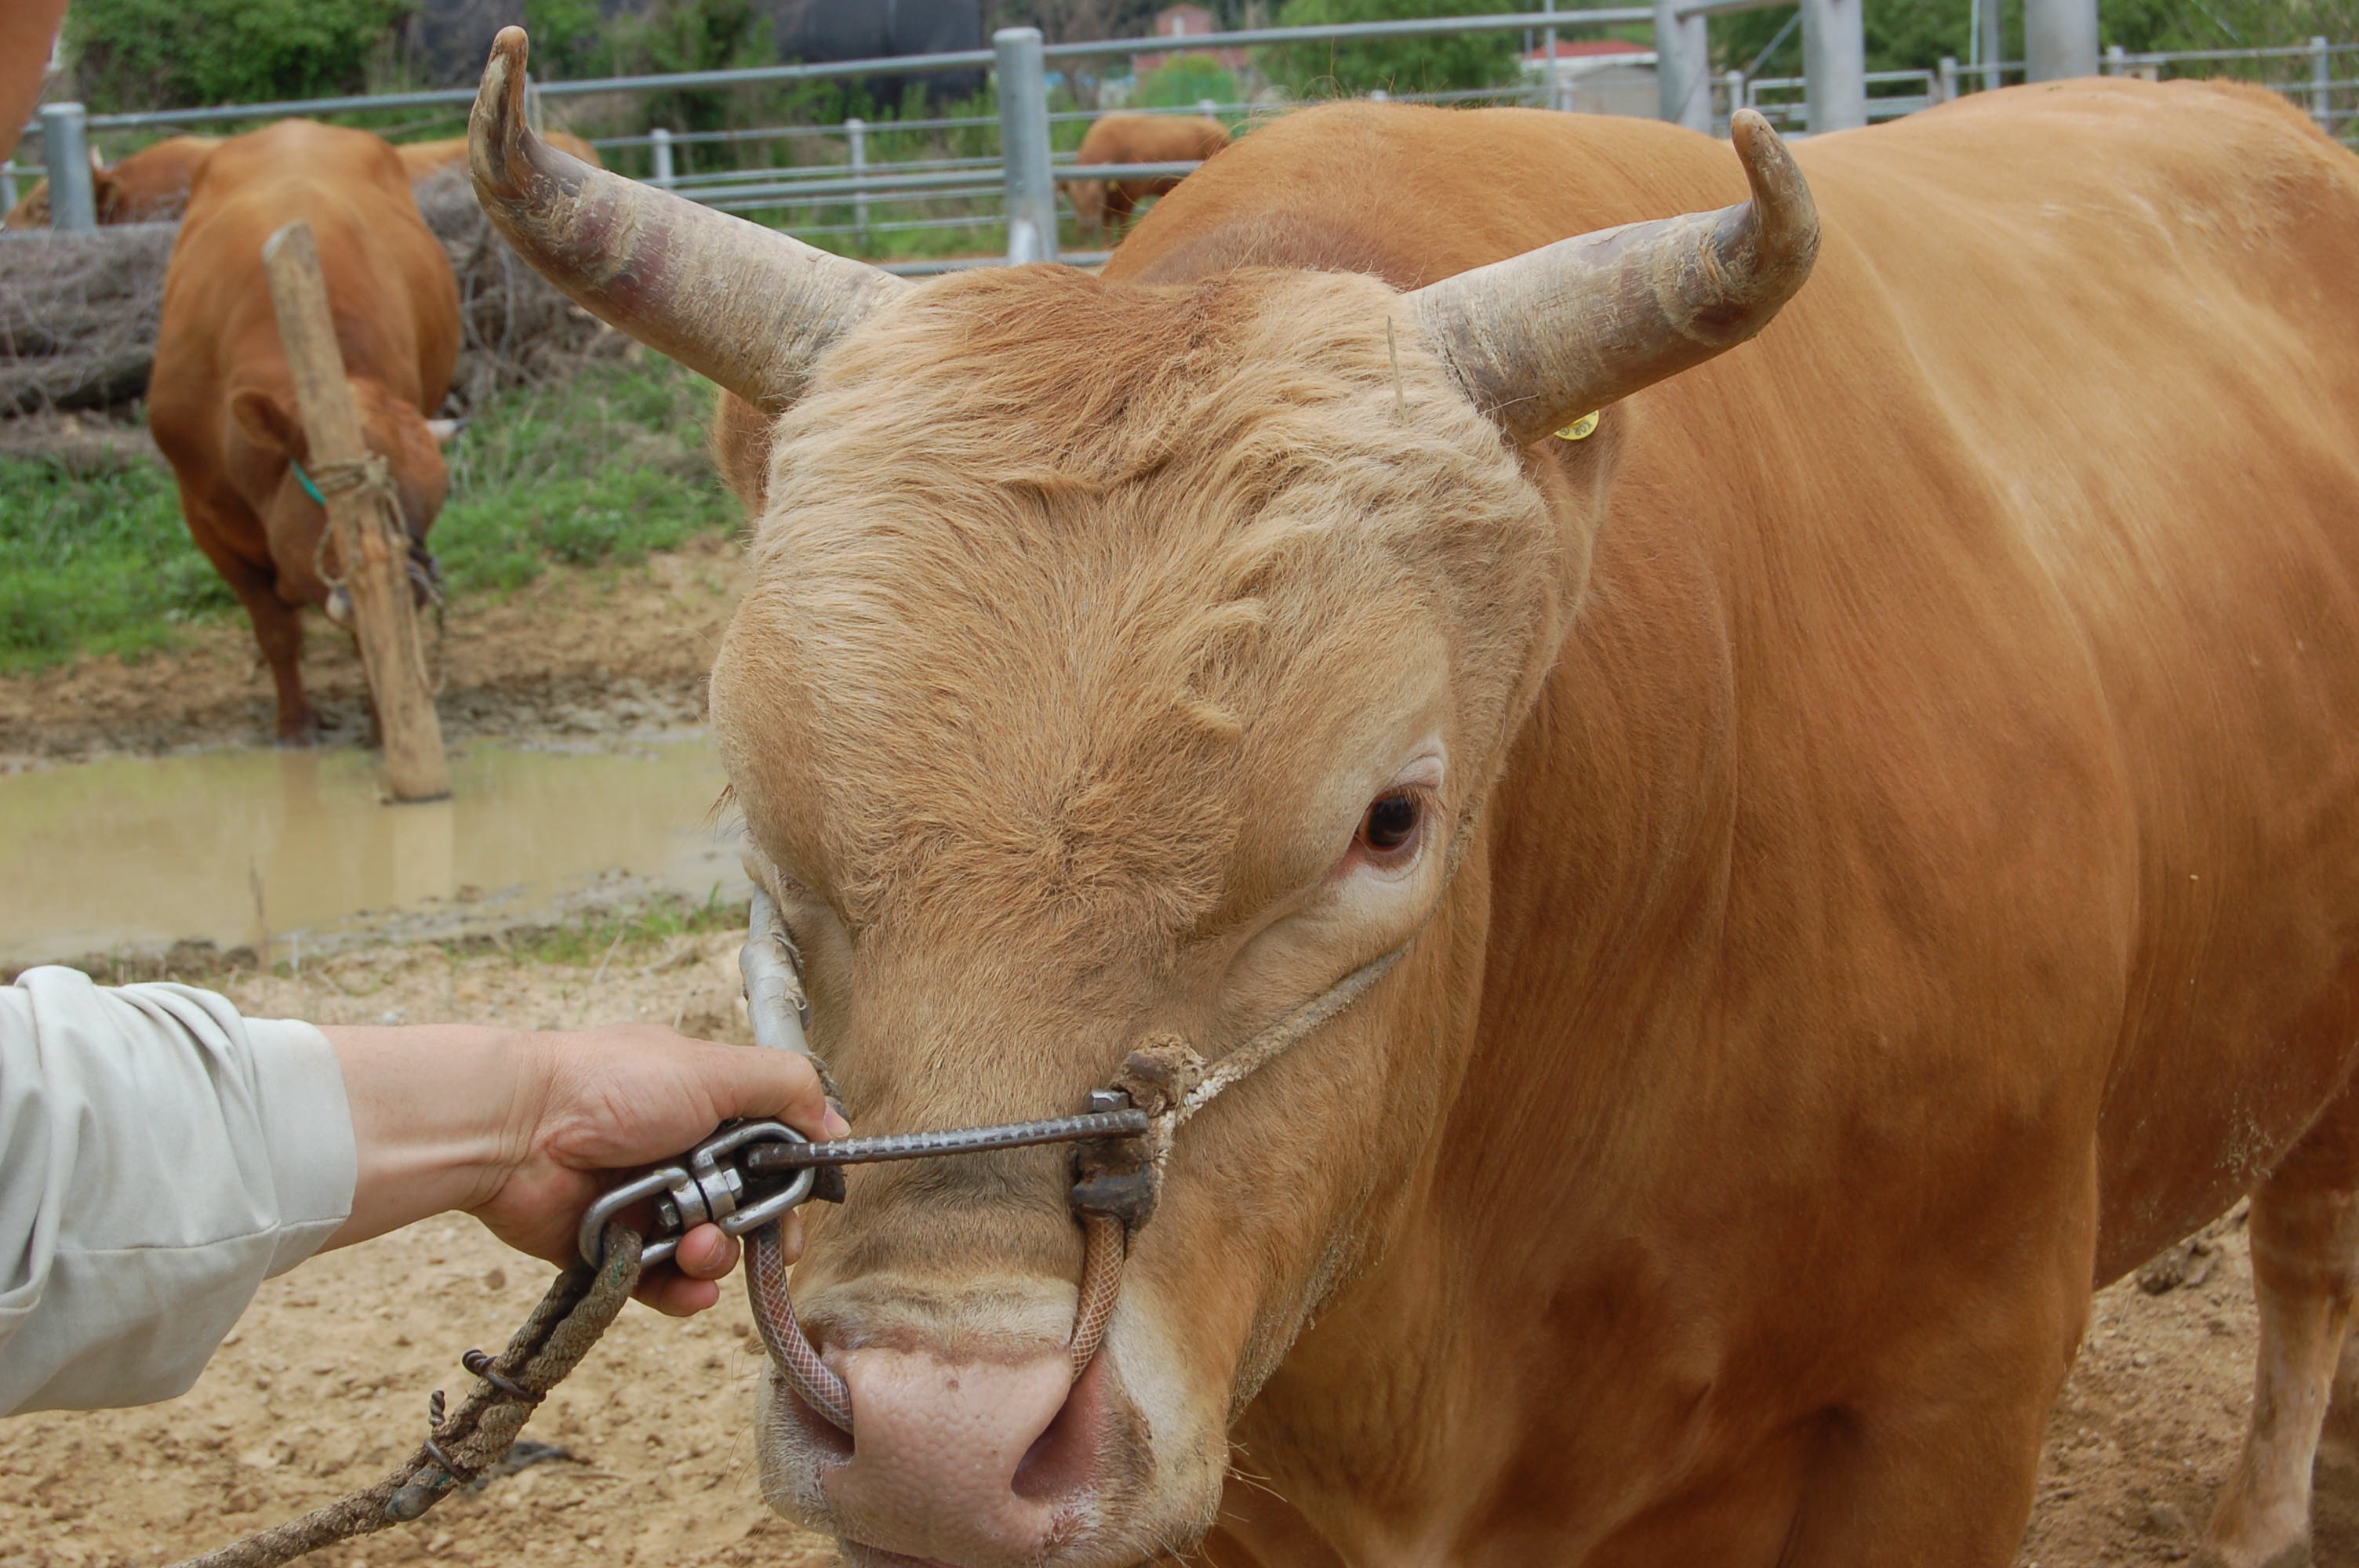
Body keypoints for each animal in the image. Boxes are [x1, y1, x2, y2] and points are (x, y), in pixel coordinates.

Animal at [151, 118, 460, 745]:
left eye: (438, 498)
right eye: (339, 498)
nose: (415, 587)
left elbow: (370, 636)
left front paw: (383, 721)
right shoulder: (204, 518)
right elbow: (276, 631)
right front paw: (295, 725)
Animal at [1061, 111, 1227, 237]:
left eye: (1095, 196)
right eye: (1074, 198)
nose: (1087, 225)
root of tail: (1218, 128)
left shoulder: (1127, 200)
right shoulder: (1108, 207)